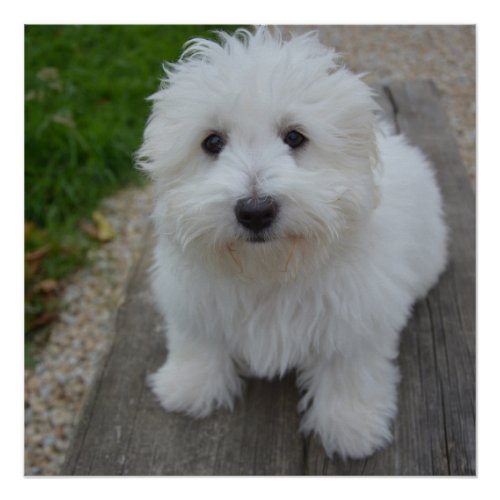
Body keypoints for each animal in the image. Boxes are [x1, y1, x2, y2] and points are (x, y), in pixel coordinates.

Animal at [138, 26, 450, 458]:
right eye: (212, 142)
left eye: (295, 137)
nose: (255, 210)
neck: (270, 270)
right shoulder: (194, 297)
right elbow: (199, 339)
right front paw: (190, 385)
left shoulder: (356, 317)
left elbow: (349, 370)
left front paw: (350, 424)